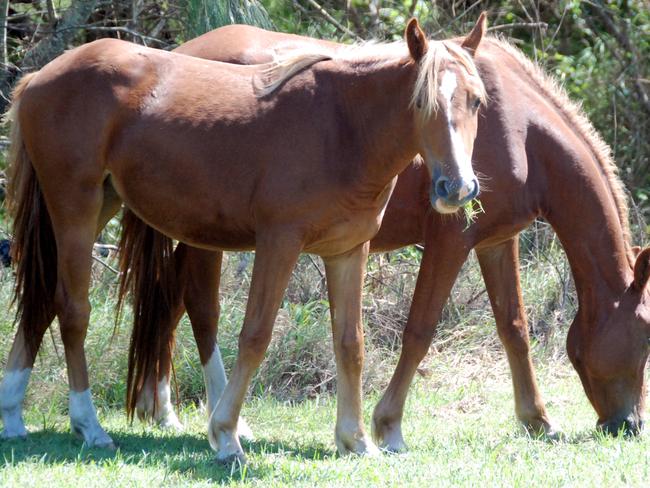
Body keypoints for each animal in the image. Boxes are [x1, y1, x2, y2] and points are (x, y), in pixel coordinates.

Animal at [119, 23, 644, 450]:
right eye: (644, 337)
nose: (631, 424)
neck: (520, 126)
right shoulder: (452, 240)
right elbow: (420, 330)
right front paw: (388, 426)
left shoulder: (498, 241)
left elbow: (513, 327)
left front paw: (537, 419)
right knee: (200, 307)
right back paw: (221, 421)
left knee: (169, 303)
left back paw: (162, 409)